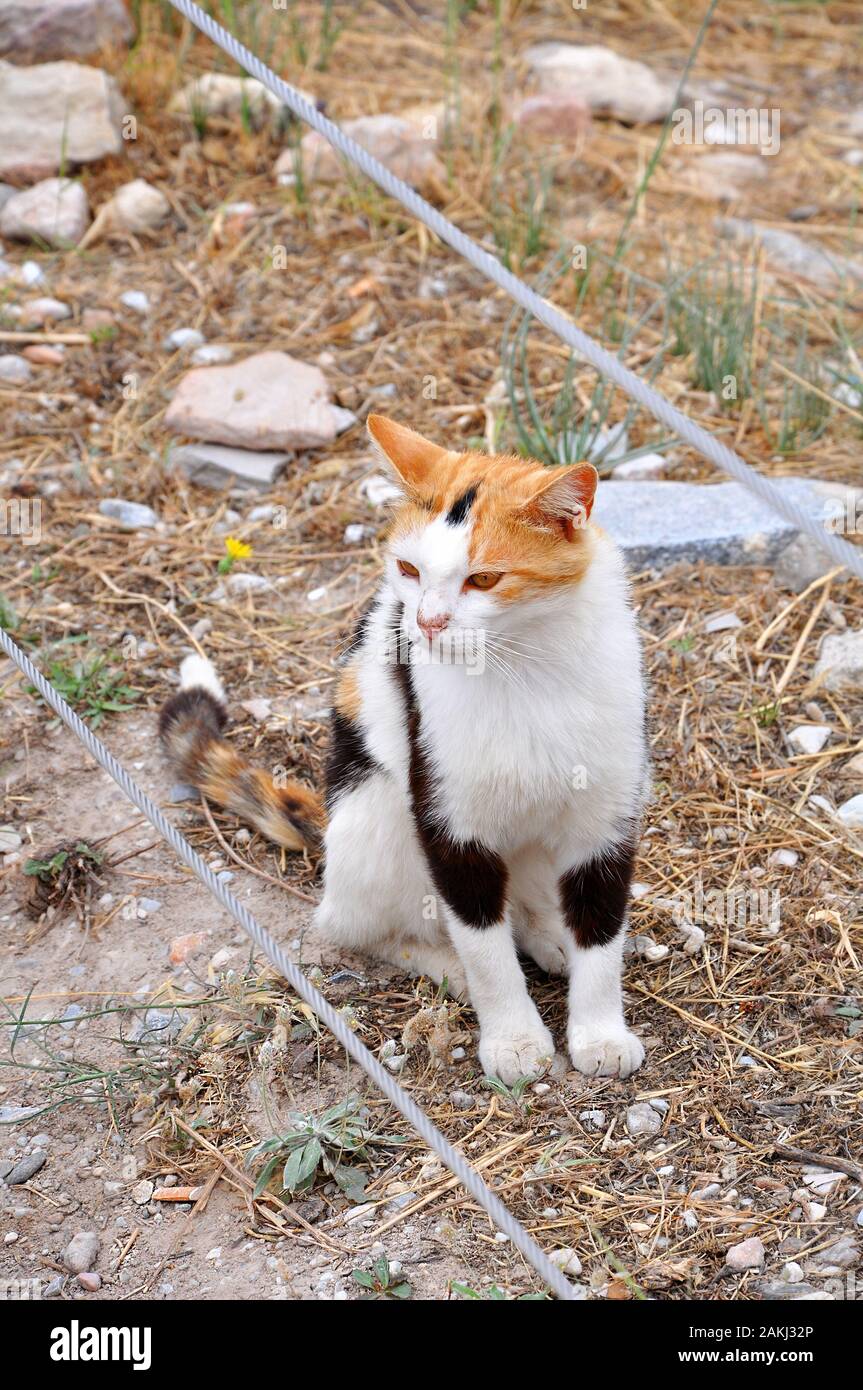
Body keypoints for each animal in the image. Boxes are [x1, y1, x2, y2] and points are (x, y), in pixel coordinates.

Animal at [159, 411, 644, 1084]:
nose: (428, 623)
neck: (528, 667)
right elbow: (482, 940)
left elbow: (601, 928)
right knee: (355, 926)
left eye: (484, 578)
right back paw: (449, 968)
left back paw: (548, 936)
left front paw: (600, 1034)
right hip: (379, 810)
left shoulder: (607, 813)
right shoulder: (445, 817)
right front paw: (513, 1038)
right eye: (410, 570)